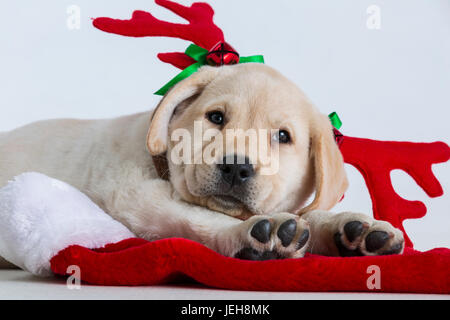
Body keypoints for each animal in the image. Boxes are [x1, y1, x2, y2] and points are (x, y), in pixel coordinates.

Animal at [0, 63, 404, 266]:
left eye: (283, 136)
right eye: (216, 118)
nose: (237, 167)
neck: (159, 162)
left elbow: (307, 214)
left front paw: (354, 229)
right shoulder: (137, 199)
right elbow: (202, 219)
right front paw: (257, 232)